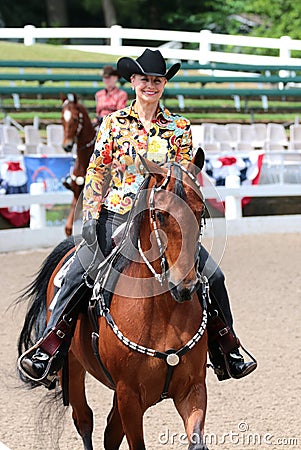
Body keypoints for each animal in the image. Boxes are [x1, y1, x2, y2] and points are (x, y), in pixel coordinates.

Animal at [17, 149, 209, 450]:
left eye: (200, 212)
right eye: (159, 215)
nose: (184, 285)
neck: (162, 313)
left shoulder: (193, 387)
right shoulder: (129, 396)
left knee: (109, 431)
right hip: (72, 368)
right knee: (84, 420)